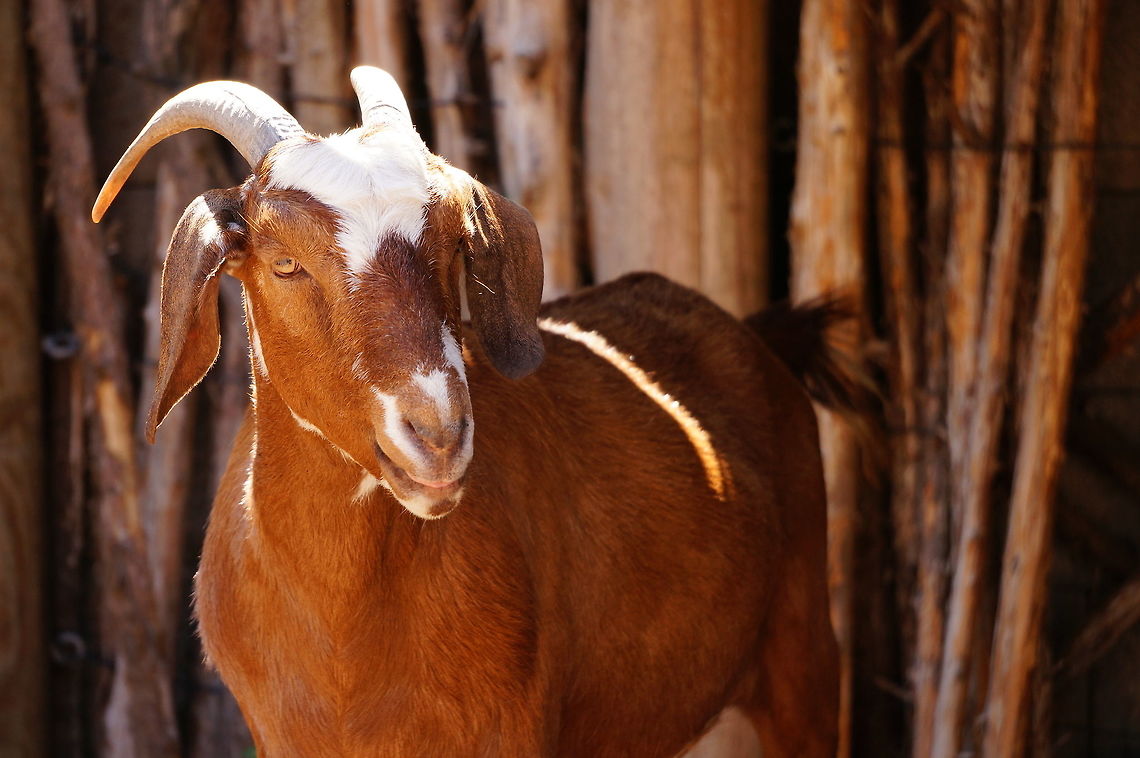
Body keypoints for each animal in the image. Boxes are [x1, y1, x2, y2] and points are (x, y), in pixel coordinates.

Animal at [93, 67, 840, 758]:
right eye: (284, 263)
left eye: (454, 246)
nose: (439, 435)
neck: (343, 646)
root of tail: (757, 335)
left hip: (802, 651)